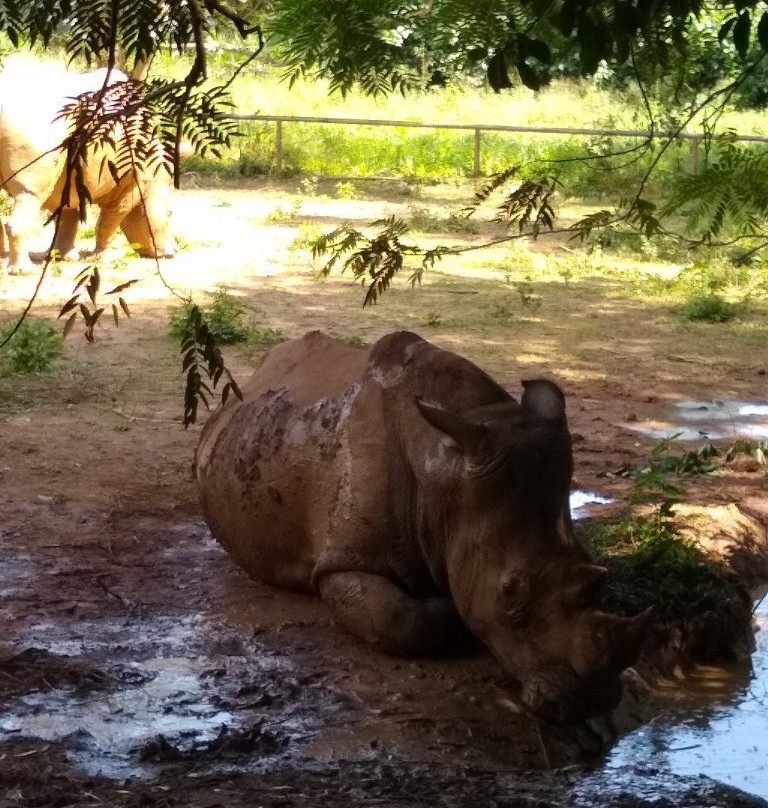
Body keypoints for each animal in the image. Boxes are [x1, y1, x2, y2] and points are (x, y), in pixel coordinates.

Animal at [0, 59, 174, 274]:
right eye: (169, 214)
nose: (172, 252)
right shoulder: (129, 186)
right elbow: (108, 223)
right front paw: (102, 259)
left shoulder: (72, 180)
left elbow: (67, 218)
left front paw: (63, 256)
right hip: (35, 124)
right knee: (30, 195)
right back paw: (24, 271)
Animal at [195, 332, 652, 724]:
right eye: (509, 592)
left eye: (597, 570)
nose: (592, 702)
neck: (444, 480)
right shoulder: (344, 560)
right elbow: (399, 619)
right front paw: (445, 608)